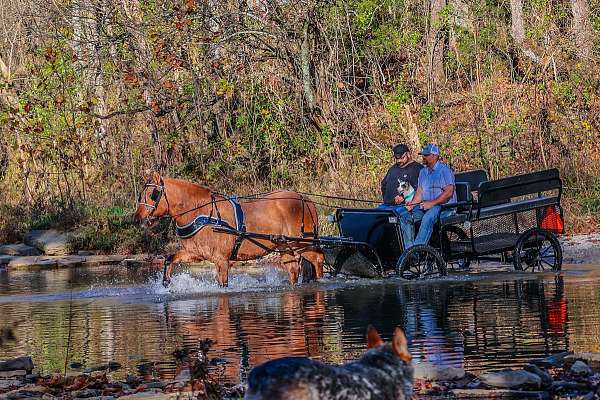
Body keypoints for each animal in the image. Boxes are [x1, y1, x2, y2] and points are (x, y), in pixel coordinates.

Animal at [134, 172, 326, 288]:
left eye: (152, 194)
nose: (137, 219)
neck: (202, 213)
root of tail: (305, 198)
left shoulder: (222, 260)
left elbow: (223, 285)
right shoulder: (195, 253)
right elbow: (170, 259)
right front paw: (166, 282)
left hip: (302, 243)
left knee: (318, 259)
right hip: (284, 245)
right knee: (293, 269)